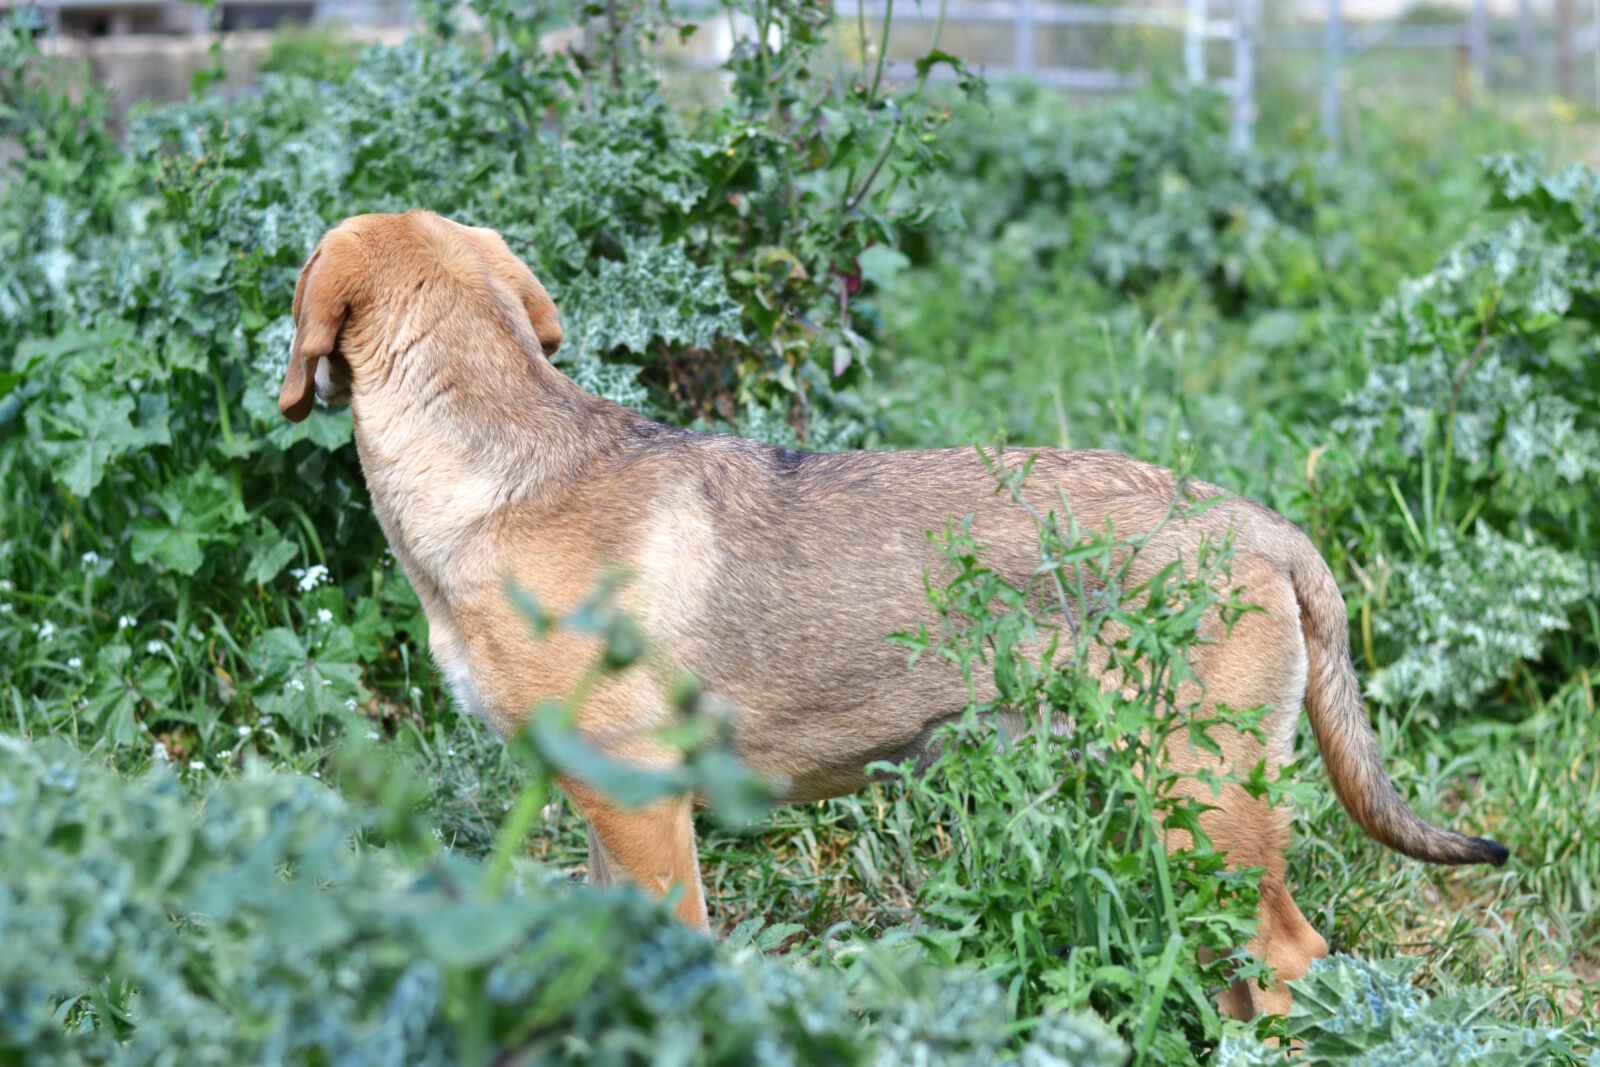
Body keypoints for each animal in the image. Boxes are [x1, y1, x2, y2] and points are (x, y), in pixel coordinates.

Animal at [277, 210, 1507, 1020]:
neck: (506, 471)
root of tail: (1265, 525)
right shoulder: (600, 810)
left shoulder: (642, 801)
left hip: (1202, 799)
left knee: (1291, 955)